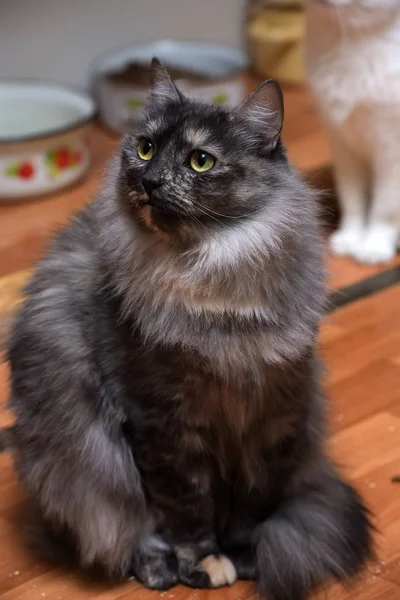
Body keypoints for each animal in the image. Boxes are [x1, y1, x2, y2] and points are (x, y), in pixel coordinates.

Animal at [0, 59, 372, 600]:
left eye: (200, 161)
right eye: (145, 148)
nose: (152, 180)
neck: (214, 282)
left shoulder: (271, 418)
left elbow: (252, 505)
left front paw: (244, 555)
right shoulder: (164, 427)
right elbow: (184, 512)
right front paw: (204, 563)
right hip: (83, 463)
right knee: (124, 527)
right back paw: (158, 571)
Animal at [304, 0, 400, 262]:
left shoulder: (391, 152)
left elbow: (384, 207)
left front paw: (374, 246)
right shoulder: (343, 145)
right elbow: (352, 198)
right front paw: (350, 238)